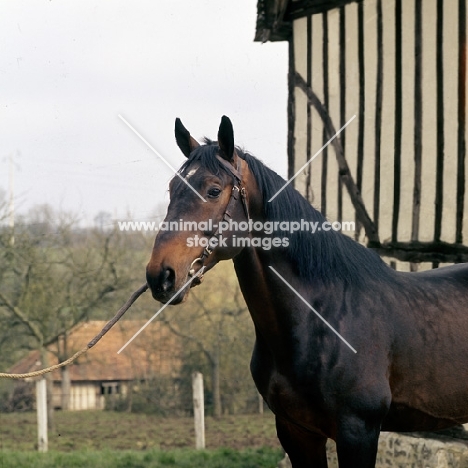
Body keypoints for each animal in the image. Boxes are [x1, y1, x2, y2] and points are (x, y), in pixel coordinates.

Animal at [146, 115, 468, 466]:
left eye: (214, 190)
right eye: (172, 188)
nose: (160, 276)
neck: (324, 316)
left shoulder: (359, 431)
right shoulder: (296, 431)